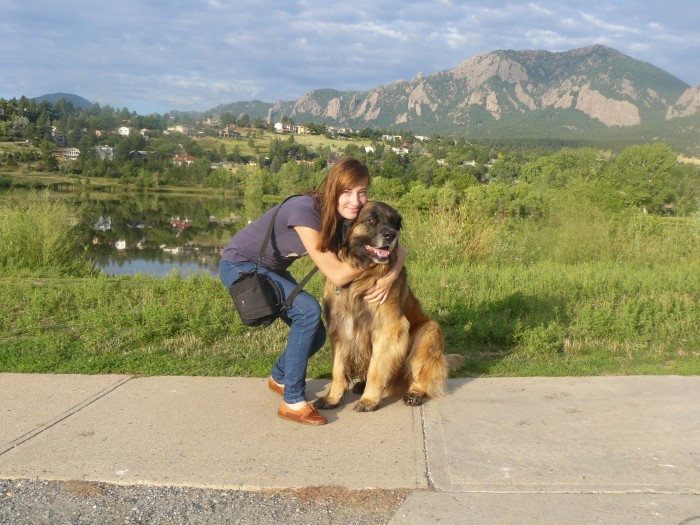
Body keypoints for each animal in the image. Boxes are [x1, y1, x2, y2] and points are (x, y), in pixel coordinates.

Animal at [316, 203, 460, 412]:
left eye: (393, 222)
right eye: (371, 220)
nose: (391, 235)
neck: (360, 279)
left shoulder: (388, 329)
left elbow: (376, 369)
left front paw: (369, 400)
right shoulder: (341, 328)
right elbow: (338, 369)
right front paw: (332, 398)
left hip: (429, 331)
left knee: (421, 375)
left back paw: (413, 394)